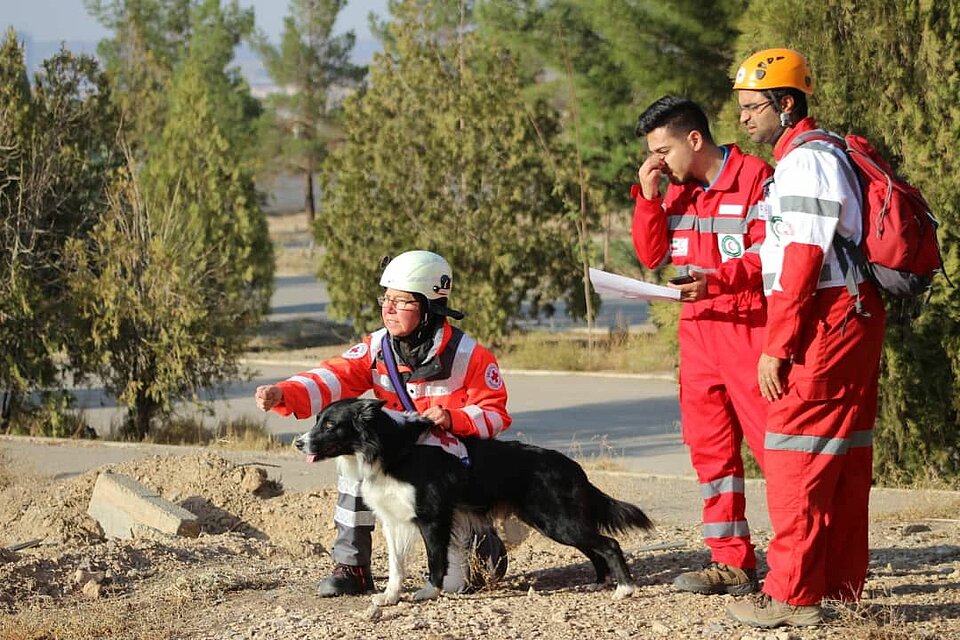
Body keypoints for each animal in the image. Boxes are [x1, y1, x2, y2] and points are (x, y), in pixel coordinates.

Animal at [292, 398, 652, 604]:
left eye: (330, 424)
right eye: (316, 419)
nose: (298, 443)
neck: (390, 448)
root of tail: (574, 467)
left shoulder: (433, 518)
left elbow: (435, 561)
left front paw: (429, 592)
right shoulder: (393, 520)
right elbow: (396, 565)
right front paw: (390, 597)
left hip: (558, 521)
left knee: (608, 544)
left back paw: (625, 589)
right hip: (557, 523)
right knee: (595, 548)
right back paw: (599, 583)